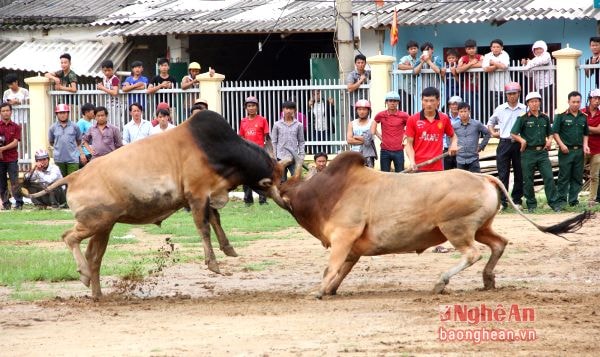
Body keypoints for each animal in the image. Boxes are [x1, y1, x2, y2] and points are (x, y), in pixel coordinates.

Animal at [27, 110, 282, 298]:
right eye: (274, 179)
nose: (282, 197)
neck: (213, 148)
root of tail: (74, 176)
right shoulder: (197, 196)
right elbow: (204, 228)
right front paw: (213, 264)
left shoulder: (206, 197)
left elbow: (215, 220)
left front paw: (228, 249)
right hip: (94, 223)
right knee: (69, 237)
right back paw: (84, 274)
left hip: (104, 227)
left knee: (94, 256)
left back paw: (97, 293)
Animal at [270, 150, 592, 298]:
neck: (327, 192)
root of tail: (483, 178)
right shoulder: (353, 249)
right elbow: (341, 271)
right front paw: (331, 289)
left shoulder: (342, 238)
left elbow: (330, 267)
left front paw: (318, 291)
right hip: (482, 228)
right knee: (499, 244)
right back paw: (488, 280)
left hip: (456, 229)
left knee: (472, 253)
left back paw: (441, 282)